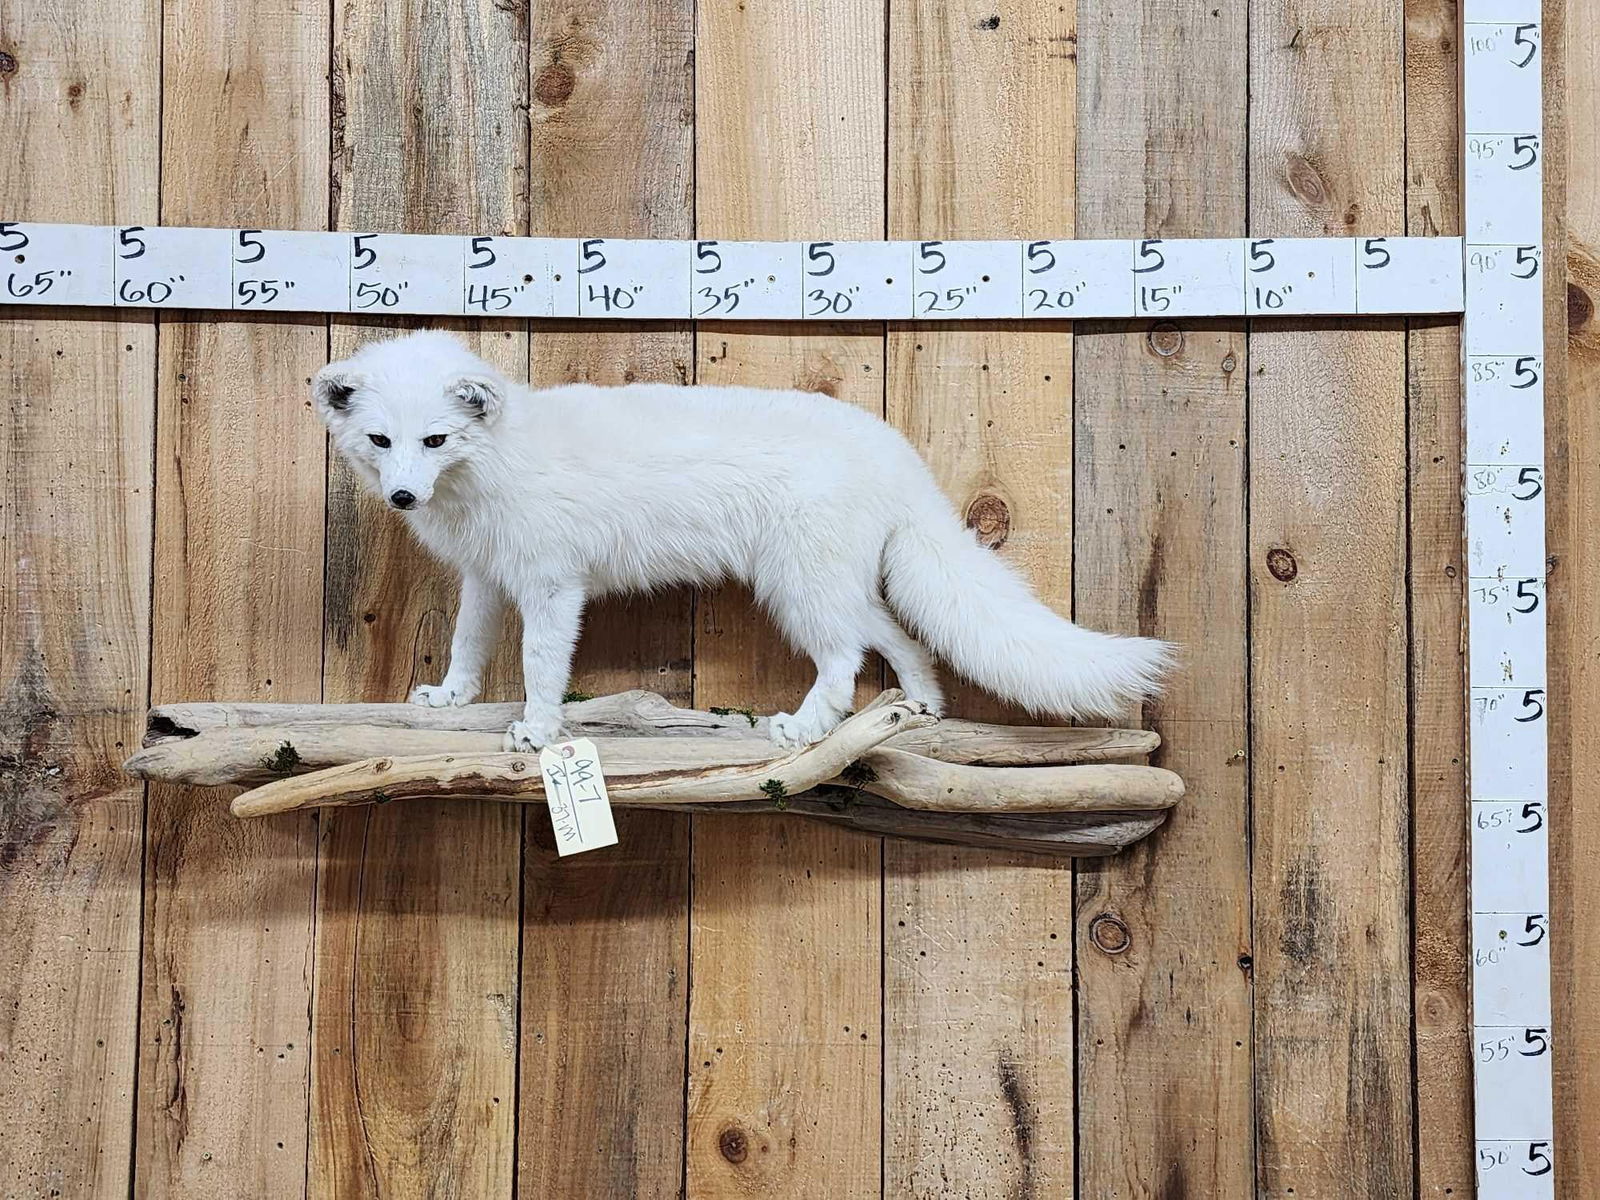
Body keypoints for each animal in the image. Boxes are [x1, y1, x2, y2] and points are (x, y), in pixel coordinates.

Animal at [313, 330, 1174, 751]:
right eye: (381, 440)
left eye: (436, 439)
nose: (401, 495)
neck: (494, 465)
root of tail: (893, 448)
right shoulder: (488, 578)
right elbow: (466, 642)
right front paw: (451, 696)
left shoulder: (553, 587)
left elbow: (538, 668)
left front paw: (538, 730)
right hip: (832, 583)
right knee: (896, 638)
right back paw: (920, 706)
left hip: (797, 586)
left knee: (843, 659)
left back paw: (807, 728)